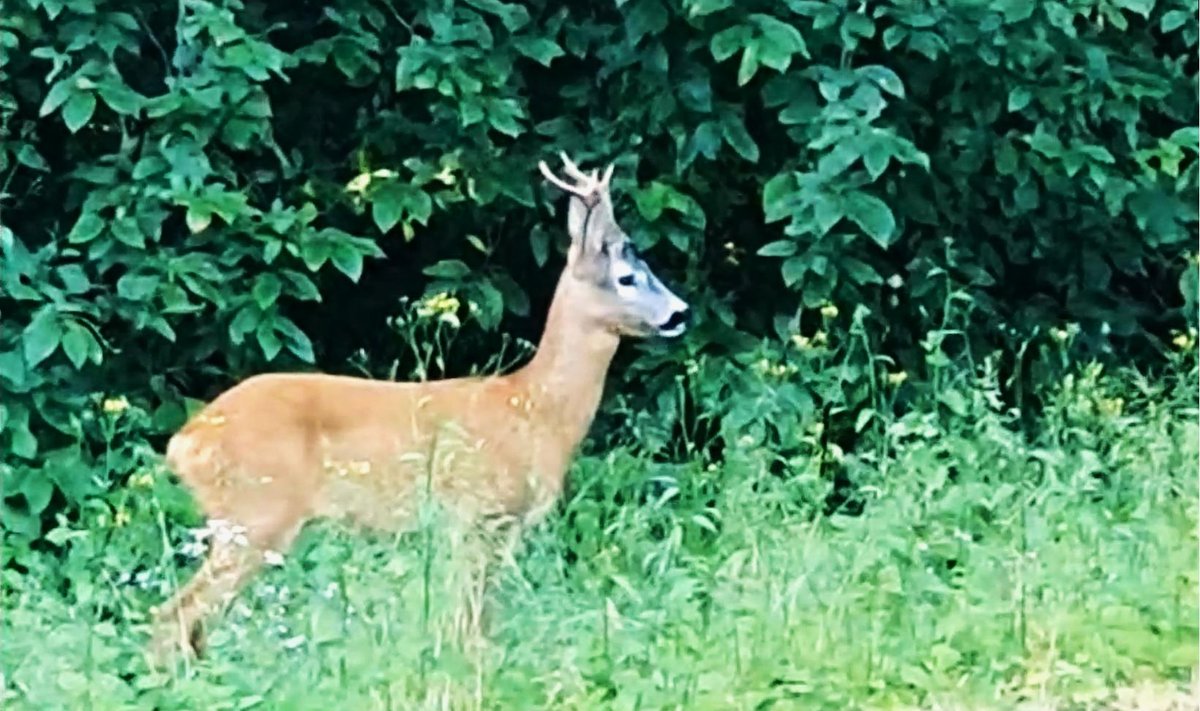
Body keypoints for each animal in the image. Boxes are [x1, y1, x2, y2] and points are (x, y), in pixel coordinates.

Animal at [147, 153, 696, 662]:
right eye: (627, 278)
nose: (680, 313)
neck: (535, 408)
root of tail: (184, 441)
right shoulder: (479, 514)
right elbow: (471, 628)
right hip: (256, 513)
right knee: (173, 614)